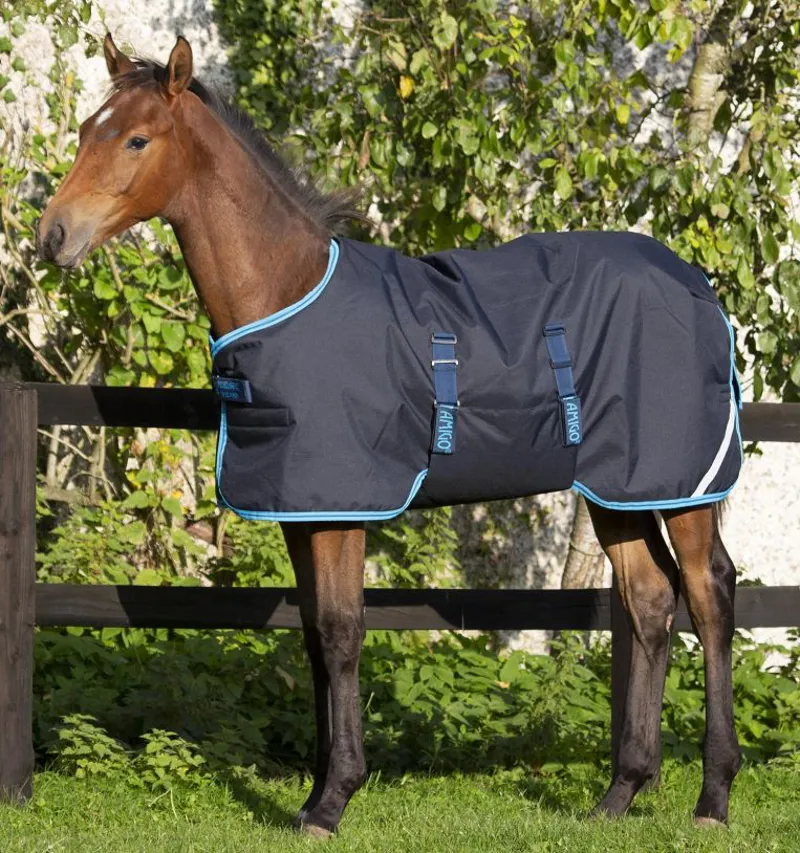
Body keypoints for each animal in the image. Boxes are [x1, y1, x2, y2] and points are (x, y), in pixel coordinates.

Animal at [37, 34, 742, 837]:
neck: (287, 292)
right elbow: (314, 637)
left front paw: (334, 800)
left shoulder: (344, 509)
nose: (53, 235)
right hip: (618, 489)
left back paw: (713, 797)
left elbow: (343, 632)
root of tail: (698, 284)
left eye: (136, 139)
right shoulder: (302, 511)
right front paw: (315, 792)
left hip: (682, 485)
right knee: (650, 601)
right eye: (86, 129)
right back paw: (620, 793)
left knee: (709, 595)